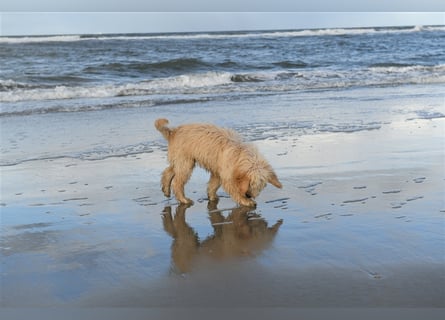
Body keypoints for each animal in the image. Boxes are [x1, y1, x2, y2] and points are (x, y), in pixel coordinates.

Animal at [154, 119, 282, 206]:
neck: (240, 154)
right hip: (186, 162)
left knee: (168, 171)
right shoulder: (226, 174)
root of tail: (173, 131)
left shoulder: (218, 172)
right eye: (251, 184)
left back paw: (166, 190)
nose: (248, 195)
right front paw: (246, 201)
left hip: (181, 160)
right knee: (177, 182)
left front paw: (212, 197)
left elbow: (213, 185)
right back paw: (184, 199)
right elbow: (233, 188)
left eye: (260, 187)